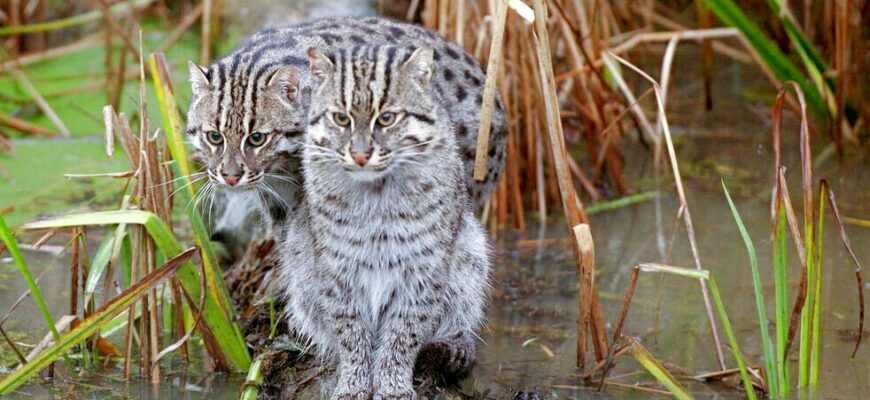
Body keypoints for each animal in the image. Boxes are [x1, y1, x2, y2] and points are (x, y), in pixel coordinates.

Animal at [282, 45, 494, 398]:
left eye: (387, 118)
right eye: (341, 119)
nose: (360, 155)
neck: (375, 193)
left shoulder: (422, 269)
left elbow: (403, 333)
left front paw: (393, 384)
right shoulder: (338, 271)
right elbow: (351, 335)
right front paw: (353, 384)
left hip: (470, 257)